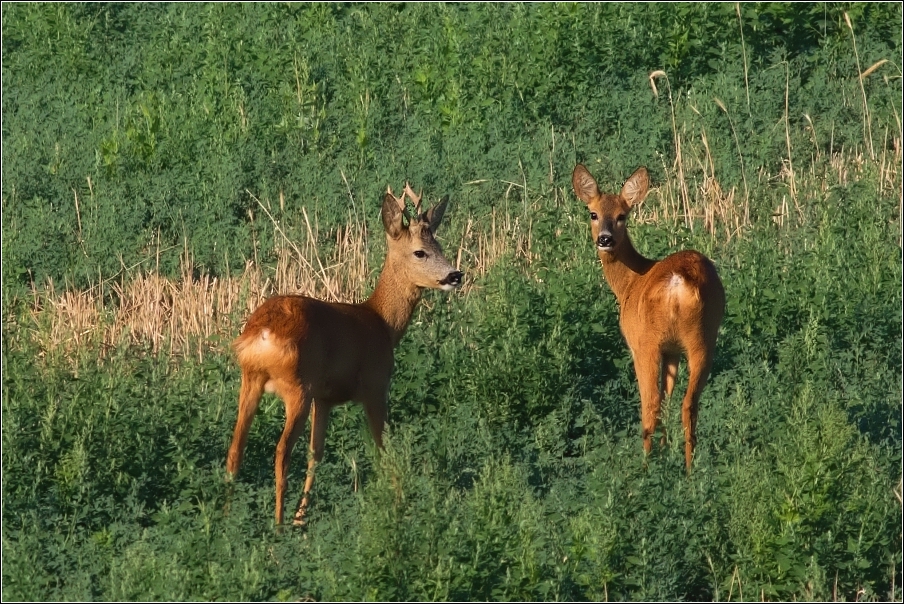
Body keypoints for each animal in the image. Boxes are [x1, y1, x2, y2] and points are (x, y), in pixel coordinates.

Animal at [230, 185, 462, 524]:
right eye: (420, 251)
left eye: (440, 245)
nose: (456, 275)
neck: (383, 323)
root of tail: (261, 332)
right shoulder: (375, 386)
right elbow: (382, 447)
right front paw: (394, 500)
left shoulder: (326, 399)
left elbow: (316, 453)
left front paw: (302, 515)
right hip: (297, 387)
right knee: (281, 452)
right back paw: (278, 525)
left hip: (252, 379)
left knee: (235, 449)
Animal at [572, 166, 728, 472]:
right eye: (593, 213)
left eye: (622, 215)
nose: (605, 239)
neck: (630, 283)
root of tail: (680, 283)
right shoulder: (672, 350)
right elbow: (669, 395)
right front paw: (667, 449)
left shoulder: (638, 344)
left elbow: (655, 400)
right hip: (703, 337)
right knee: (688, 403)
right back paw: (690, 471)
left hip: (649, 342)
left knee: (650, 404)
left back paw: (645, 467)